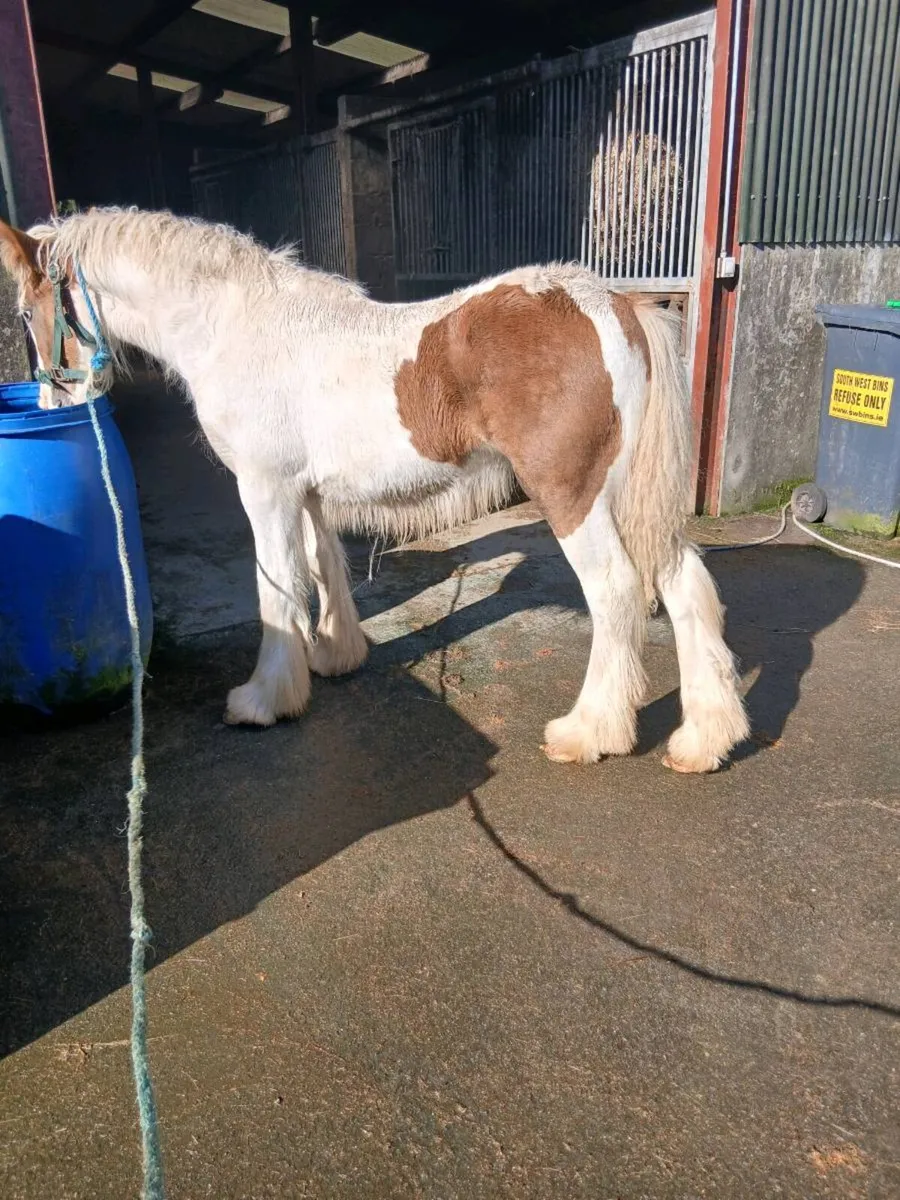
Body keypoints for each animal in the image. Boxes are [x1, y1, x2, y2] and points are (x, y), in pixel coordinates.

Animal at [0, 208, 748, 772]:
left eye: (24, 312)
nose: (49, 405)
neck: (232, 325)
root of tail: (613, 303)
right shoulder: (303, 491)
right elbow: (321, 565)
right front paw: (335, 655)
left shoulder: (264, 490)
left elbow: (277, 586)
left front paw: (264, 700)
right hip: (630, 498)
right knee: (686, 585)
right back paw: (702, 740)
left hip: (572, 495)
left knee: (618, 591)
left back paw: (589, 731)